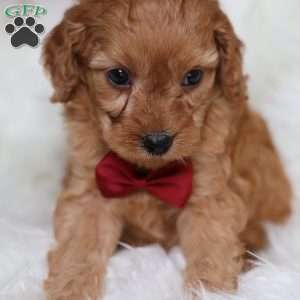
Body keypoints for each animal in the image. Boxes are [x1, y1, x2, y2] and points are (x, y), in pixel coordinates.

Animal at [43, 1, 292, 298]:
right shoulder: (89, 191)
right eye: (119, 76)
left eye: (193, 76)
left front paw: (210, 290)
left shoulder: (209, 193)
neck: (148, 174)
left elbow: (211, 251)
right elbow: (78, 245)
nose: (158, 141)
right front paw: (69, 288)